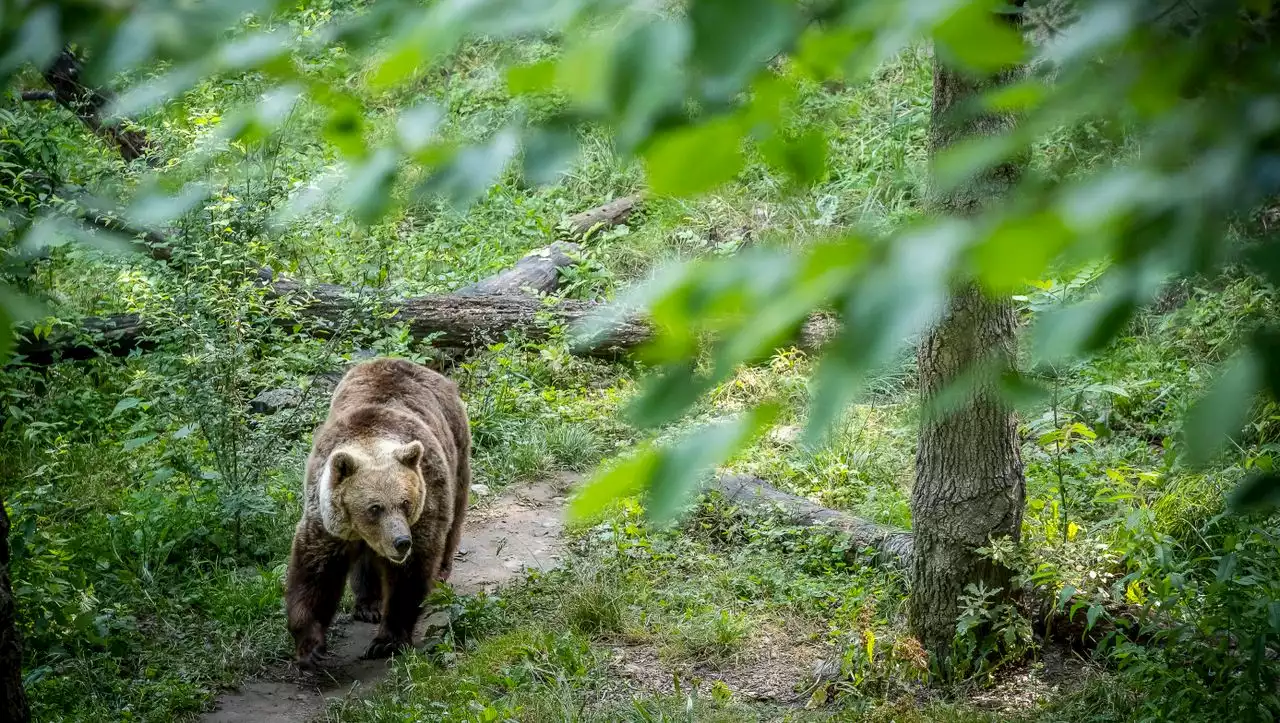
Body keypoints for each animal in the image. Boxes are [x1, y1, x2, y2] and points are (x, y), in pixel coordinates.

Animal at [285, 358, 471, 670]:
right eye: (374, 507)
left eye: (406, 502)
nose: (401, 542)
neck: (370, 440)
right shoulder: (327, 521)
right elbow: (315, 574)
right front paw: (310, 647)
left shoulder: (427, 502)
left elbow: (410, 575)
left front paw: (386, 641)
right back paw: (368, 604)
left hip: (457, 448)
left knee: (454, 517)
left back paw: (441, 572)